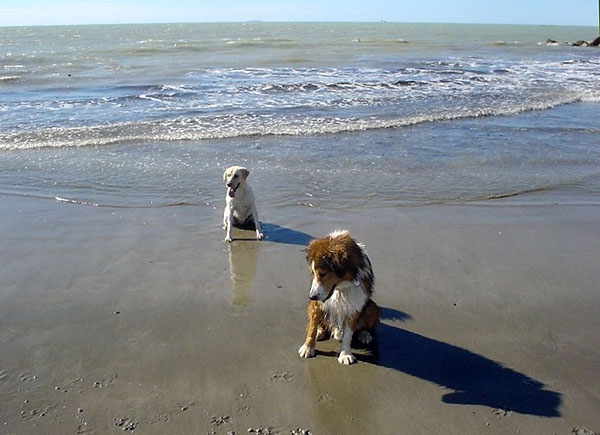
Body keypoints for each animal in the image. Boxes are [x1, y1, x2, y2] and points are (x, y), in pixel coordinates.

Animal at [298, 230, 380, 366]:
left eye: (323, 274)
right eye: (313, 273)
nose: (311, 297)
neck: (341, 287)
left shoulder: (354, 305)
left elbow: (348, 335)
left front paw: (345, 354)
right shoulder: (317, 304)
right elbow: (312, 327)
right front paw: (307, 347)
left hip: (372, 307)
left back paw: (365, 334)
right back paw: (320, 331)